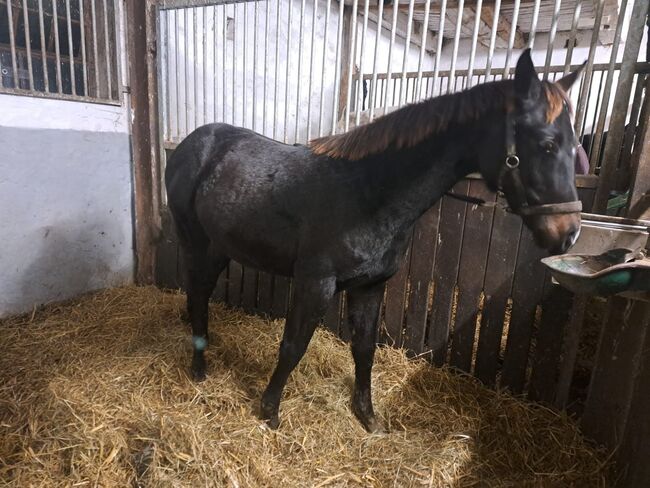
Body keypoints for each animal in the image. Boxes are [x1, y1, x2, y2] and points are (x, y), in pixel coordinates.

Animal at [166, 49, 584, 430]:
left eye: (575, 145)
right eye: (547, 143)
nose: (568, 232)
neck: (367, 191)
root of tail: (193, 143)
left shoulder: (370, 286)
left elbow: (364, 350)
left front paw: (367, 416)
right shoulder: (315, 283)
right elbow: (293, 346)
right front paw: (269, 411)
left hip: (220, 246)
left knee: (200, 291)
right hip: (194, 240)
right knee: (197, 293)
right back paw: (199, 367)